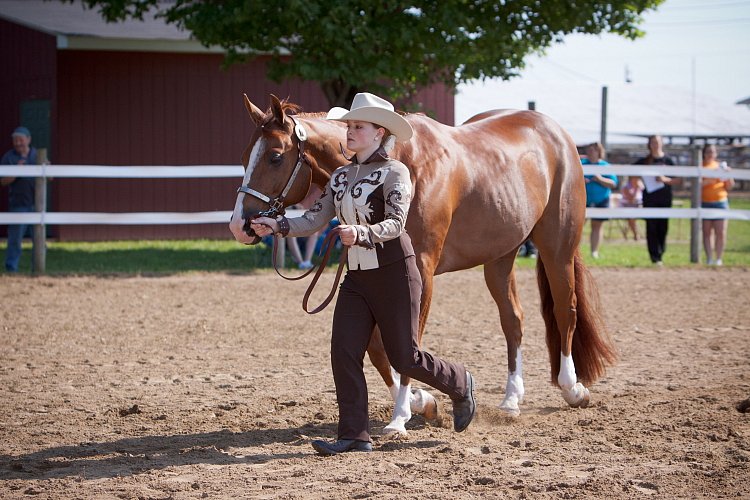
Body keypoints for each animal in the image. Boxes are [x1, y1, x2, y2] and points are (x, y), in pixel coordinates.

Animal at [229, 95, 616, 436]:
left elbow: (407, 345)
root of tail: (556, 132)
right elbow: (378, 348)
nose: (241, 225)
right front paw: (423, 402)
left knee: (566, 309)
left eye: (275, 157)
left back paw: (573, 389)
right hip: (499, 257)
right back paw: (511, 400)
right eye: (245, 156)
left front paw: (401, 417)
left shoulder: (422, 274)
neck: (396, 161)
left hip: (557, 248)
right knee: (513, 321)